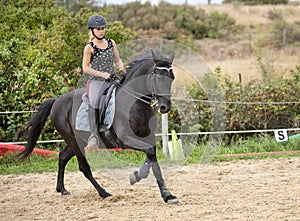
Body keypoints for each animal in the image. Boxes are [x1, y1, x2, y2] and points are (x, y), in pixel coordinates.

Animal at [17, 49, 179, 205]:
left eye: (172, 78)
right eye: (158, 78)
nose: (165, 107)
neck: (134, 103)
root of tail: (57, 101)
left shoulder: (148, 138)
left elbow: (153, 158)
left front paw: (166, 194)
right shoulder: (125, 140)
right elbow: (150, 153)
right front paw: (139, 177)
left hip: (78, 141)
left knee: (62, 156)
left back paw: (62, 189)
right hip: (73, 141)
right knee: (83, 167)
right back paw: (104, 193)